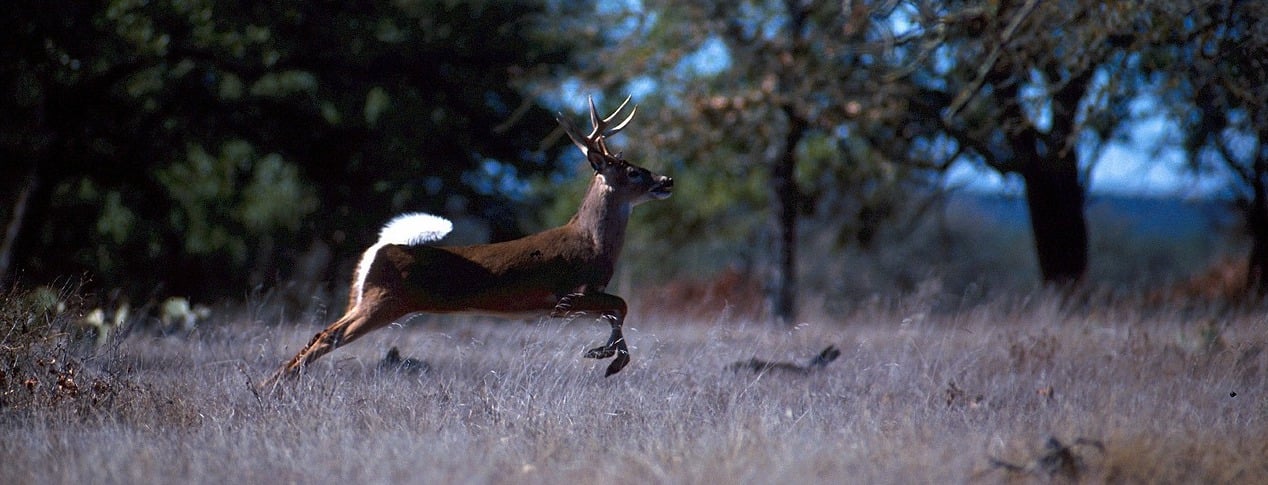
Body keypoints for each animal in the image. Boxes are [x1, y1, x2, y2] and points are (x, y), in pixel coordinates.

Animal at [259, 96, 674, 388]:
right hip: (384, 301)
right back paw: (271, 387)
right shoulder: (567, 295)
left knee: (321, 332)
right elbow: (621, 305)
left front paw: (604, 353)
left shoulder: (577, 299)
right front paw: (610, 357)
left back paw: (271, 384)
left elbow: (617, 310)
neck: (592, 243)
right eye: (633, 172)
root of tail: (379, 248)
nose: (666, 180)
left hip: (364, 299)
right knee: (328, 335)